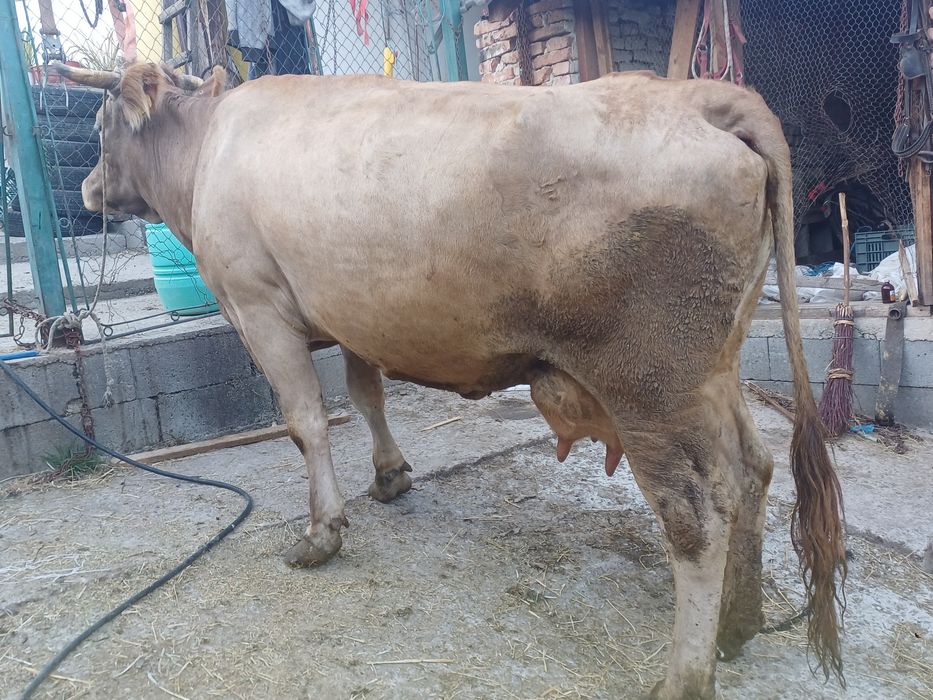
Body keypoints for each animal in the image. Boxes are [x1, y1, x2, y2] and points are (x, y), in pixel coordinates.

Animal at [51, 61, 846, 699]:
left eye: (98, 126)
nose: (85, 189)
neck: (207, 148)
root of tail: (699, 96)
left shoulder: (259, 306)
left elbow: (306, 421)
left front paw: (322, 532)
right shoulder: (357, 314)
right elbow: (366, 396)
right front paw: (390, 476)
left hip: (649, 382)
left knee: (697, 513)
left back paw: (685, 674)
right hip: (714, 369)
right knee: (752, 467)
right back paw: (738, 625)